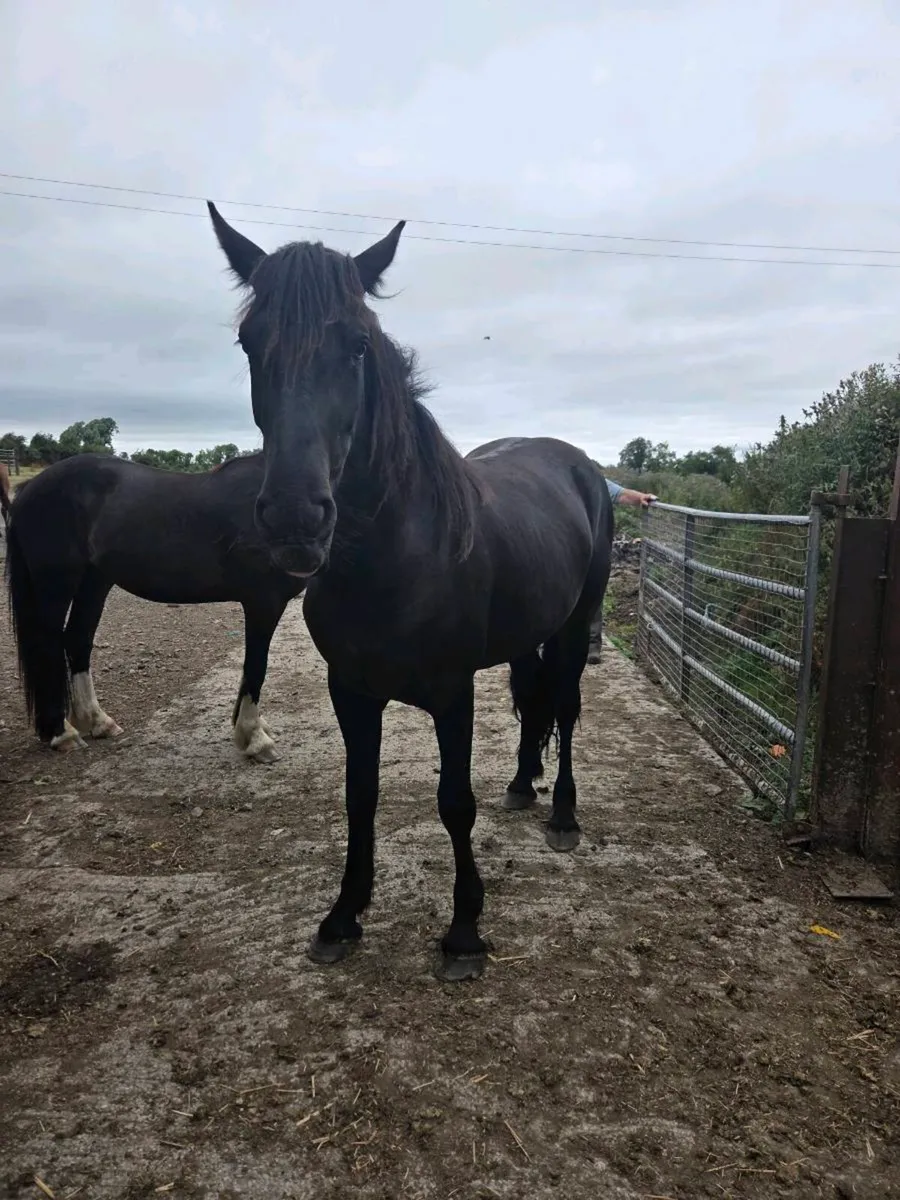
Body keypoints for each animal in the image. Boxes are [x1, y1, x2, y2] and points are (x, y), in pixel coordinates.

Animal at [5, 452, 303, 761]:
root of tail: (28, 488)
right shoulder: (264, 601)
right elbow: (256, 666)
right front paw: (256, 738)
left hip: (94, 581)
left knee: (77, 640)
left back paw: (97, 721)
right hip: (55, 584)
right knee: (47, 646)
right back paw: (62, 733)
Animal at [207, 202, 614, 981]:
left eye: (358, 344)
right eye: (248, 341)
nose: (297, 518)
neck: (394, 560)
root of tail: (578, 464)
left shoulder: (452, 693)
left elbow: (454, 802)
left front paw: (464, 932)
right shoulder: (350, 690)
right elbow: (358, 794)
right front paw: (342, 916)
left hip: (577, 625)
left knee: (567, 706)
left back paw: (563, 815)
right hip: (525, 634)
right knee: (532, 700)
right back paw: (522, 786)